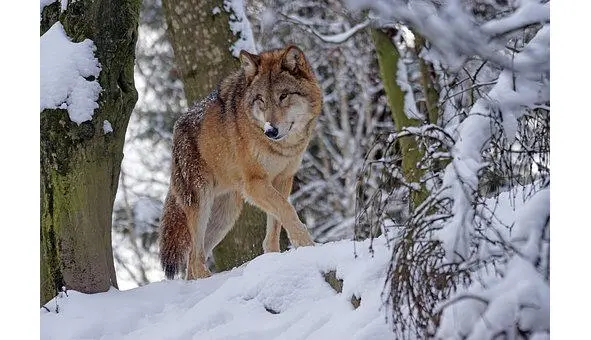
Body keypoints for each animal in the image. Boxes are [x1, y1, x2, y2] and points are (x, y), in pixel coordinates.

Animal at [160, 45, 322, 278]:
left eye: (283, 96)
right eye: (261, 99)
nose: (270, 131)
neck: (281, 148)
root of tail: (177, 128)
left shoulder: (283, 180)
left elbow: (276, 224)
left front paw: (274, 258)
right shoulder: (254, 183)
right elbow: (287, 210)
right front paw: (308, 245)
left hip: (224, 216)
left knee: (192, 261)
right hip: (201, 202)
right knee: (194, 260)